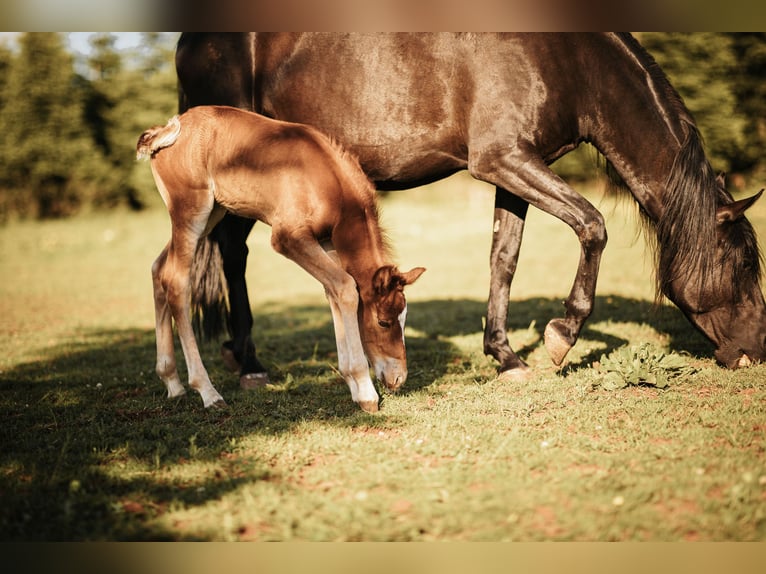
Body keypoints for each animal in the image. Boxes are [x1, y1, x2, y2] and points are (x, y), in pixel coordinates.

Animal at [136, 105, 425, 411]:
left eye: (404, 317)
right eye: (383, 321)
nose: (398, 379)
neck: (329, 181)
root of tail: (165, 130)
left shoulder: (326, 242)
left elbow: (334, 291)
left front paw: (354, 387)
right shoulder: (288, 237)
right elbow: (347, 288)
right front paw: (367, 392)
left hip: (211, 215)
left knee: (158, 268)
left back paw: (172, 382)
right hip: (191, 212)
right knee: (176, 281)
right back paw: (207, 392)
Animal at [175, 32, 766, 386]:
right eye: (742, 265)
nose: (756, 350)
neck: (570, 61)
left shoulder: (516, 169)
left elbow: (504, 260)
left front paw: (505, 355)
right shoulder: (503, 160)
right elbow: (592, 226)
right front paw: (561, 336)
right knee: (232, 253)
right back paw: (250, 363)